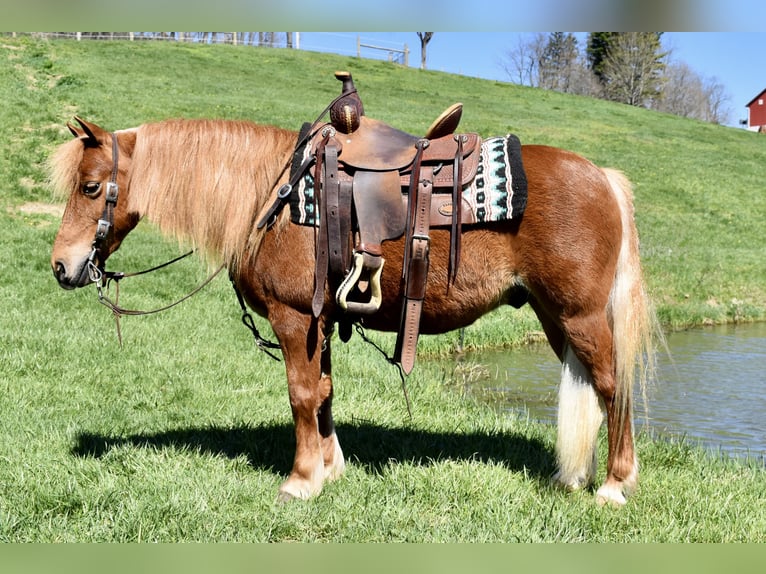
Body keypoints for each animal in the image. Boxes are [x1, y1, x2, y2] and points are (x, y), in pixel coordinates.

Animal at [49, 113, 656, 506]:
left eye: (91, 187)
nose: (60, 266)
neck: (275, 199)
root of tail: (603, 177)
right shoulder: (318, 321)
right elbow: (323, 392)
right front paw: (330, 467)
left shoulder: (294, 317)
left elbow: (300, 394)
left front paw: (300, 479)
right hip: (554, 317)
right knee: (587, 384)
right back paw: (573, 479)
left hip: (580, 315)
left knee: (611, 384)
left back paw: (614, 484)